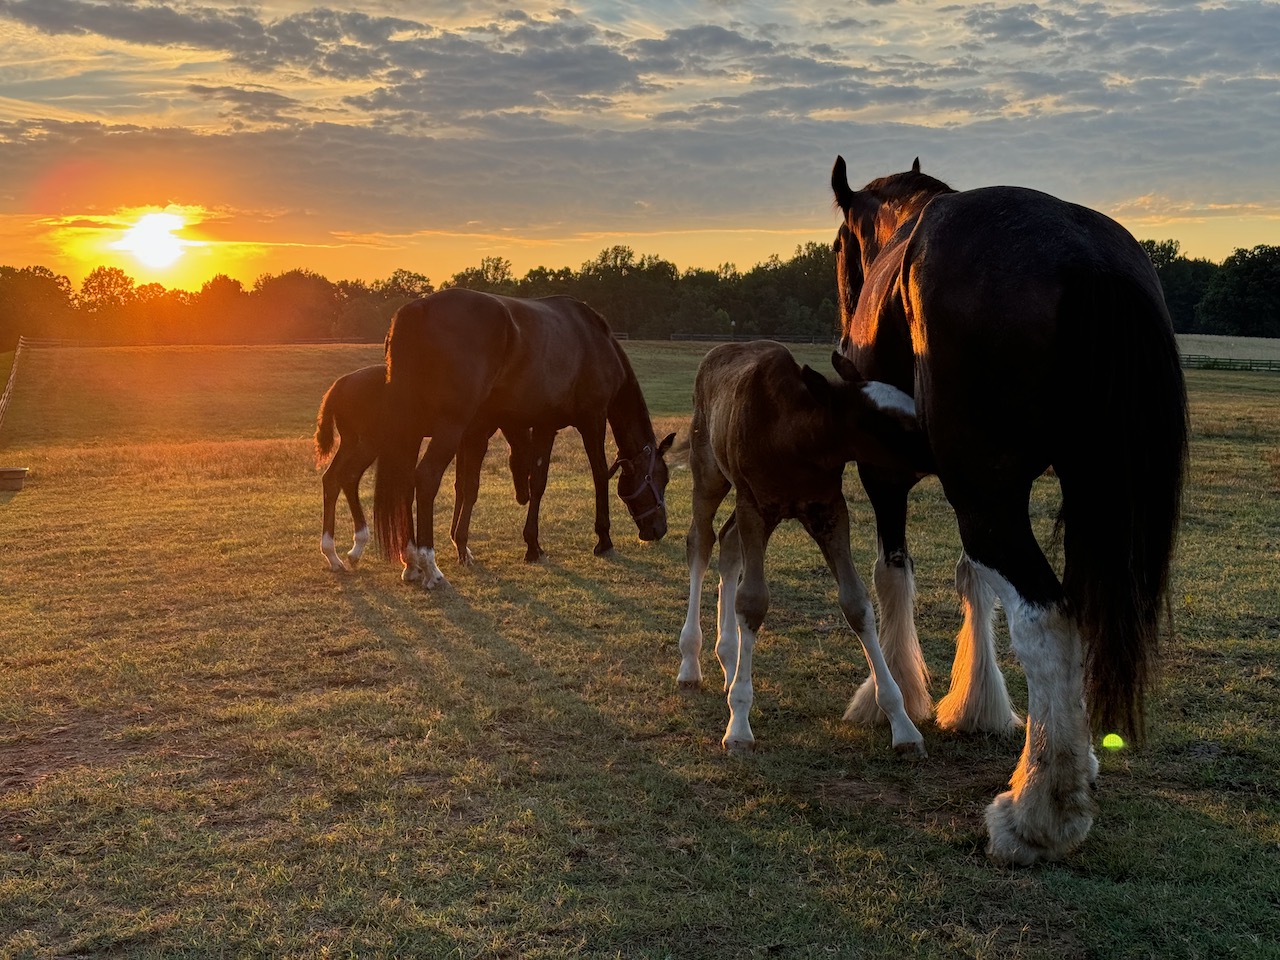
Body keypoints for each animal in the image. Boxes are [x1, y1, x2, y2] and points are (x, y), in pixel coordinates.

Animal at [313, 360, 529, 570]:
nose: (523, 497)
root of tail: (340, 384)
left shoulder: (461, 441)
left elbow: (459, 486)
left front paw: (460, 545)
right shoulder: (477, 439)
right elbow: (470, 488)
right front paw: (461, 549)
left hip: (350, 442)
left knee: (332, 479)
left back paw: (334, 554)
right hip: (369, 443)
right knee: (348, 476)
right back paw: (354, 546)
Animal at [373, 288, 680, 586]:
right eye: (661, 479)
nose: (659, 529)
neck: (594, 340)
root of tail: (418, 308)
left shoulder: (544, 426)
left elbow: (536, 483)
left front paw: (532, 545)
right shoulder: (592, 419)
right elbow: (598, 474)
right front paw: (603, 539)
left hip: (413, 430)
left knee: (406, 482)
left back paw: (411, 562)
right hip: (450, 426)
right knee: (426, 477)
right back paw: (430, 566)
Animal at [675, 343, 936, 757]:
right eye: (886, 423)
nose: (944, 451)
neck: (795, 437)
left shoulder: (829, 510)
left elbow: (856, 602)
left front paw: (903, 724)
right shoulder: (754, 507)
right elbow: (753, 601)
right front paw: (739, 726)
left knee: (729, 543)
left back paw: (729, 660)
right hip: (709, 474)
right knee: (700, 543)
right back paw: (690, 663)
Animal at [829, 156, 1187, 865]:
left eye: (834, 249)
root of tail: (1089, 258)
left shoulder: (890, 476)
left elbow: (893, 576)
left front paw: (897, 698)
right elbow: (975, 583)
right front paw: (978, 707)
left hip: (986, 497)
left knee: (1050, 618)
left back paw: (1038, 813)